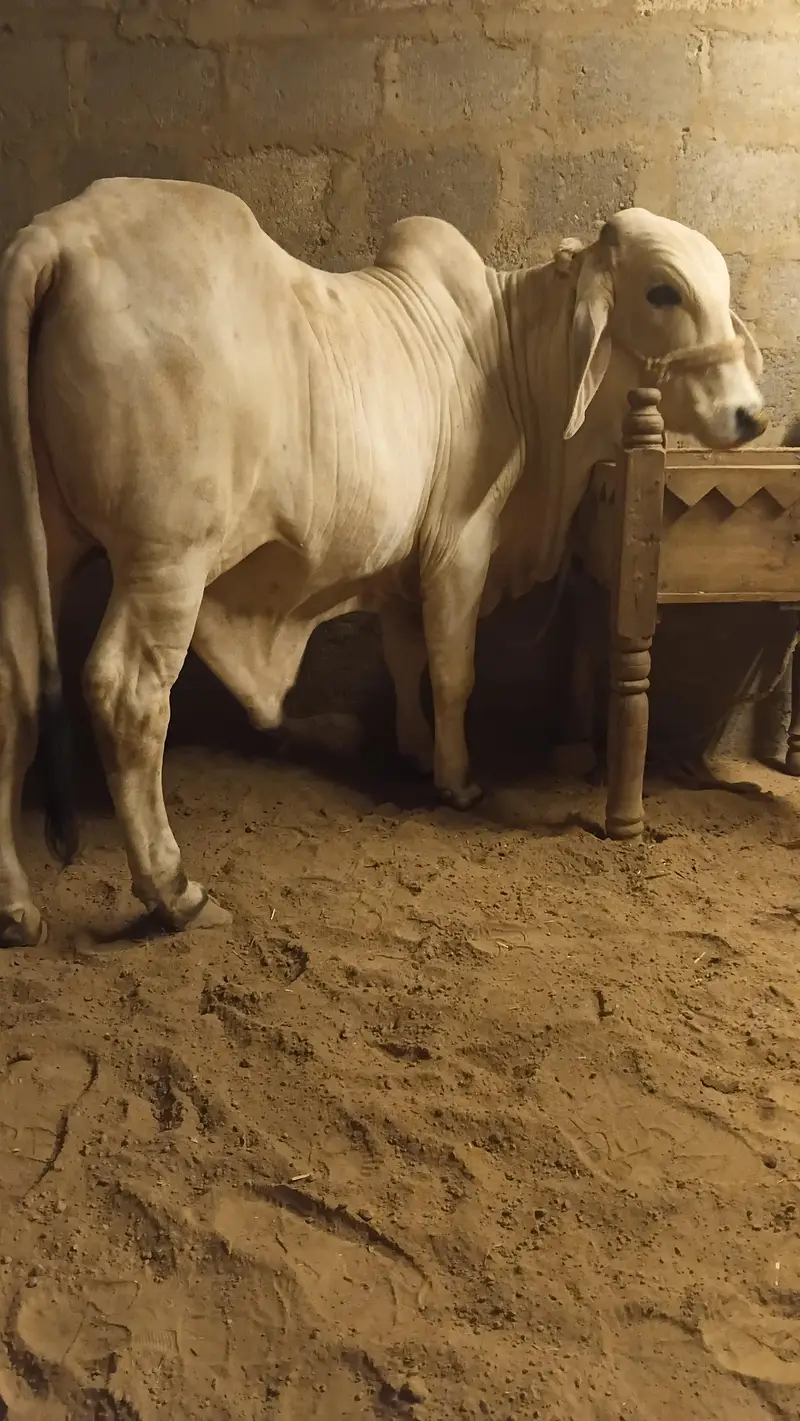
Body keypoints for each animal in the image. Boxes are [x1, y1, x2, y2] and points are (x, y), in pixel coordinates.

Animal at [0, 178, 765, 945]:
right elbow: (455, 672)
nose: (751, 415)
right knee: (128, 696)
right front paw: (456, 778)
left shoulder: (403, 566)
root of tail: (58, 235)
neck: (516, 356)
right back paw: (172, 889)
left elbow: (405, 658)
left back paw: (16, 905)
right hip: (167, 561)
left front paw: (414, 749)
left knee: (14, 690)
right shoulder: (461, 544)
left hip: (39, 548)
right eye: (663, 291)